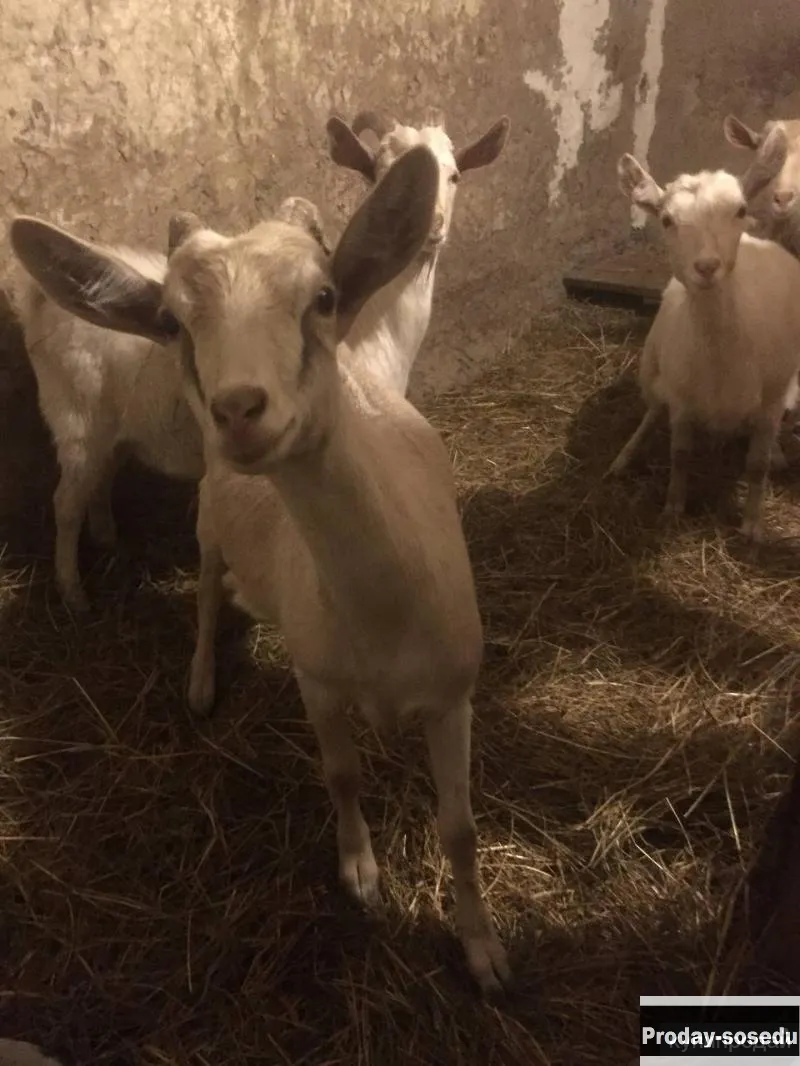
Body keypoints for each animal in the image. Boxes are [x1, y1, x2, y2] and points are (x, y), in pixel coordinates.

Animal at [10, 145, 511, 995]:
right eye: (172, 322)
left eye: (324, 296)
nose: (239, 408)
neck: (379, 612)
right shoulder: (319, 680)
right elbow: (341, 776)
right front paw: (362, 877)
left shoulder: (453, 694)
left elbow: (462, 829)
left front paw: (485, 956)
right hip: (165, 480)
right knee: (183, 575)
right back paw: (171, 658)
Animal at [607, 141, 800, 541]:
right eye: (666, 220)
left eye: (740, 210)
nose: (707, 267)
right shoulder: (681, 400)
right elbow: (679, 455)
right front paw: (672, 509)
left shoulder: (771, 401)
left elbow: (756, 465)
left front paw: (751, 525)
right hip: (650, 367)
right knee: (652, 410)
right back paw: (624, 456)